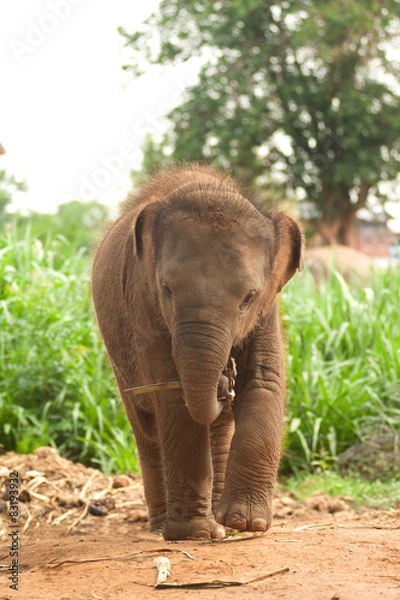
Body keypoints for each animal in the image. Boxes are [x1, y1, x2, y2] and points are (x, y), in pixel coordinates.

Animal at [91, 162, 304, 540]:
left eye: (247, 298)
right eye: (167, 289)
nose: (224, 380)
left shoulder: (268, 310)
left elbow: (264, 382)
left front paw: (246, 524)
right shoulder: (143, 304)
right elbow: (174, 397)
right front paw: (193, 533)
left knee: (217, 428)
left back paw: (222, 526)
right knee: (146, 429)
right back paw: (164, 527)